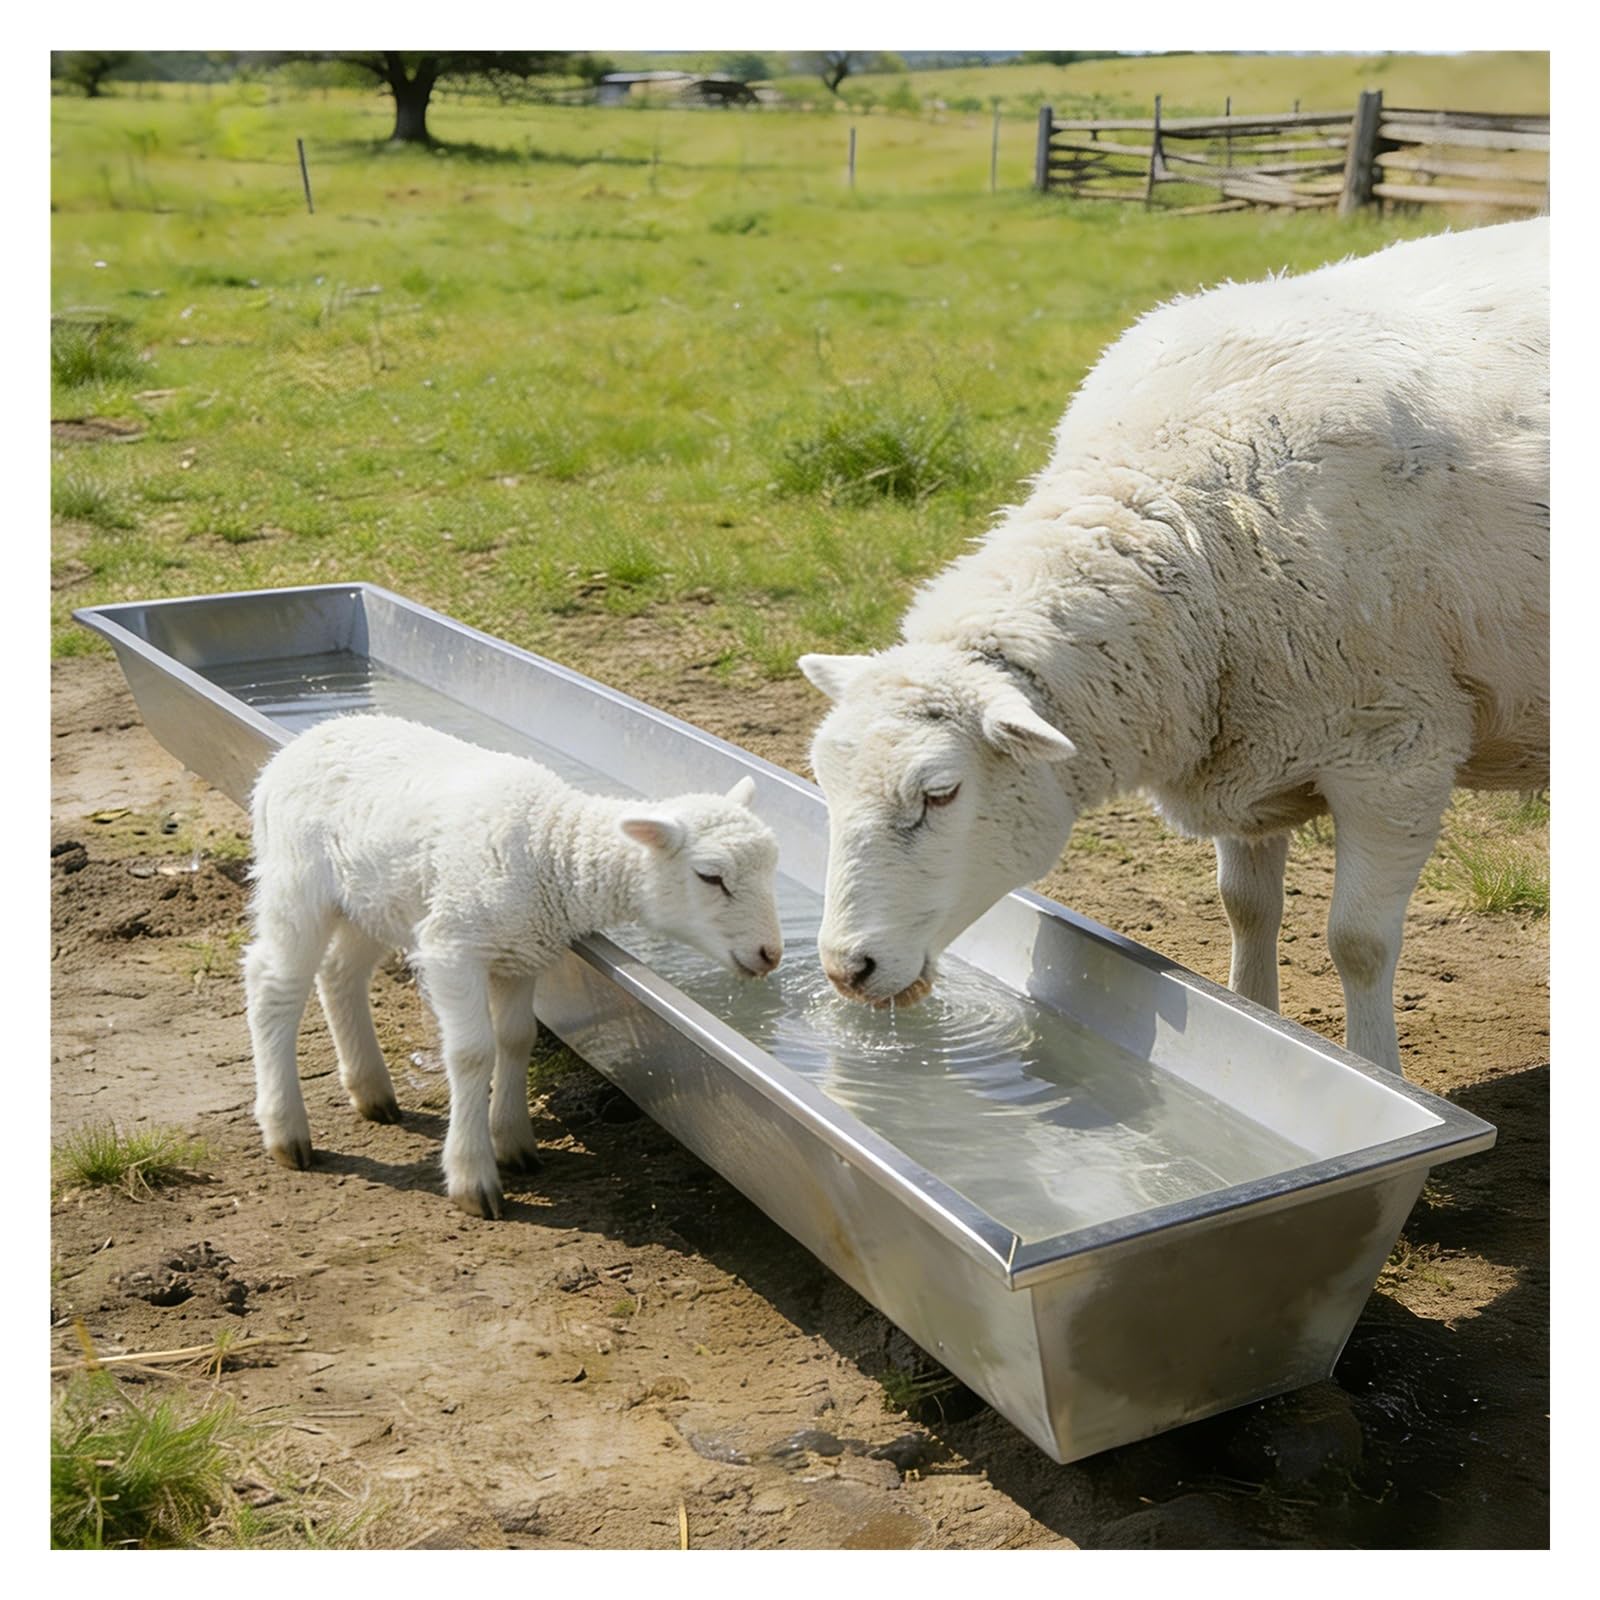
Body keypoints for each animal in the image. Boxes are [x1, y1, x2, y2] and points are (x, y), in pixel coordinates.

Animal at [242, 714, 783, 1218]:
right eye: (710, 877)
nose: (770, 954)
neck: (550, 848)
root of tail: (310, 737)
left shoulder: (522, 952)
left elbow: (516, 1038)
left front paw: (513, 1141)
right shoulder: (453, 946)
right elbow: (472, 1053)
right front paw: (473, 1175)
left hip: (373, 901)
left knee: (339, 972)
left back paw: (371, 1090)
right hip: (298, 882)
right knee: (273, 985)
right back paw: (285, 1129)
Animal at [799, 217, 1548, 1077]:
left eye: (941, 794)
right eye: (825, 783)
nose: (845, 970)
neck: (1189, 520)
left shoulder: (1397, 750)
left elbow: (1357, 943)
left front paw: (1374, 1070)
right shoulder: (1254, 734)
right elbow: (1247, 908)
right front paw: (1258, 1016)